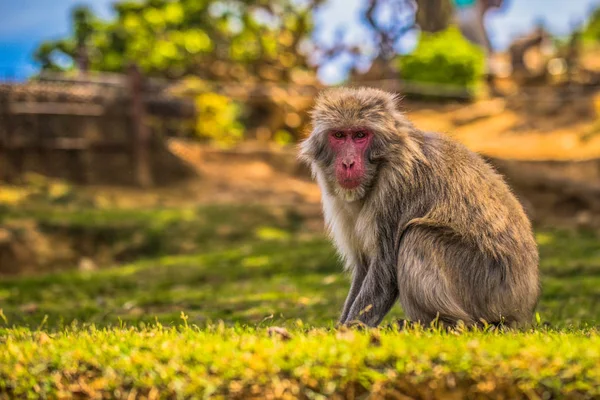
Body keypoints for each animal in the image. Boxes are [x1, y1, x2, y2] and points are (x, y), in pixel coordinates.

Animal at [300, 86, 540, 328]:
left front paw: (349, 330)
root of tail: (522, 309)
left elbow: (384, 270)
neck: (380, 167)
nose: (348, 163)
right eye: (339, 135)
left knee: (417, 235)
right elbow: (365, 265)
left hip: (487, 286)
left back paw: (446, 324)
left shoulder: (397, 186)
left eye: (360, 135)